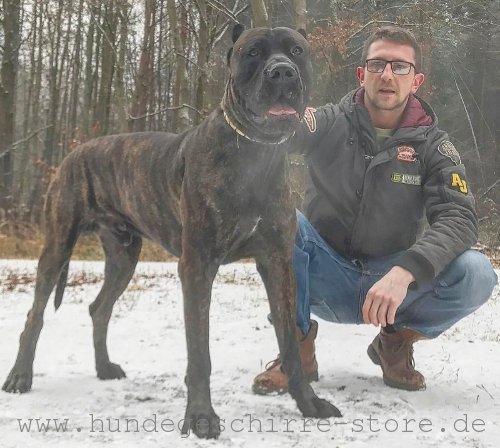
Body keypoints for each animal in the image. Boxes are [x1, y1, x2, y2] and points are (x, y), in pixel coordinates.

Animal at [2, 24, 340, 438]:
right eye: (254, 53)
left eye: (296, 51)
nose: (282, 73)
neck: (254, 156)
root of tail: (74, 152)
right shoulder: (197, 266)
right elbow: (199, 352)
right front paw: (200, 416)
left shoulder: (278, 263)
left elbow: (289, 342)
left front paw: (309, 404)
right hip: (58, 245)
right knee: (35, 316)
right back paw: (20, 376)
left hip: (123, 256)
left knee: (99, 308)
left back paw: (104, 367)